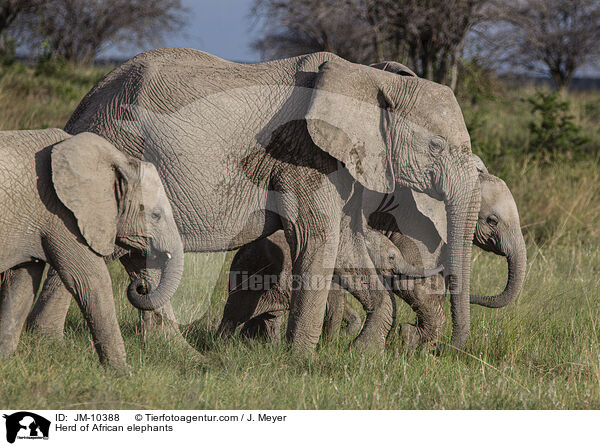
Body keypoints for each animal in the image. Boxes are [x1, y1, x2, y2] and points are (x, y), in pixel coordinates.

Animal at [0, 130, 183, 372]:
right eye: (155, 215)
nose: (141, 286)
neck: (116, 159)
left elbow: (21, 283)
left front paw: (3, 360)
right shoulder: (62, 214)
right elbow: (91, 280)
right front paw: (122, 374)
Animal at [28, 48, 480, 348]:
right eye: (436, 146)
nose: (424, 342)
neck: (369, 77)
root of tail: (84, 104)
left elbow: (346, 246)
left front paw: (363, 353)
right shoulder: (304, 154)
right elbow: (317, 240)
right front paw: (301, 362)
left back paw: (172, 352)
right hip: (116, 148)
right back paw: (48, 343)